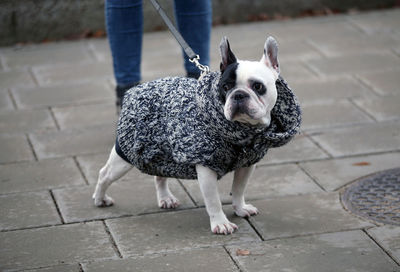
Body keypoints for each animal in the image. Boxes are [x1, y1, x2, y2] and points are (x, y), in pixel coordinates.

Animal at [94, 36, 300, 235]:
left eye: (258, 86)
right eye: (225, 87)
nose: (238, 95)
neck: (241, 131)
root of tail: (135, 90)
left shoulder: (247, 165)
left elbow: (239, 189)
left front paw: (240, 208)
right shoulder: (206, 167)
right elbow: (214, 200)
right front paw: (221, 224)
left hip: (160, 151)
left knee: (159, 175)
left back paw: (165, 198)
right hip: (125, 157)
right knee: (105, 174)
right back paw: (100, 198)